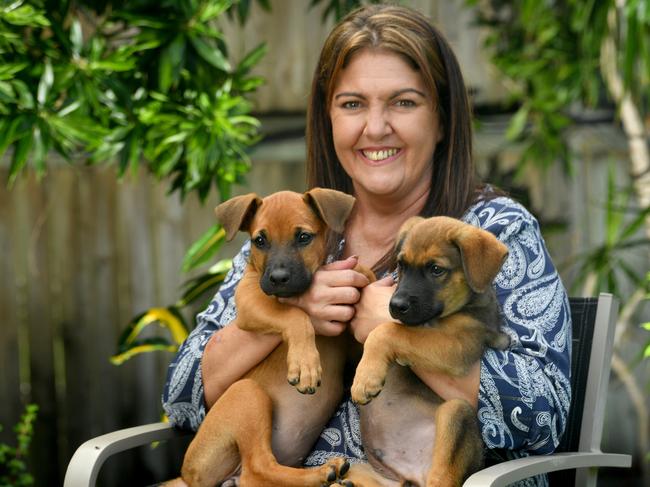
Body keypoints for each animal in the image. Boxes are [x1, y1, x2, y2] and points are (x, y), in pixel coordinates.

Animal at [178, 191, 370, 487]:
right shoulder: (249, 300)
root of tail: (188, 474)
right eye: (260, 240)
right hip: (247, 393)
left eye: (303, 237)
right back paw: (322, 472)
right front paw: (305, 365)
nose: (279, 279)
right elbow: (296, 316)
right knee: (258, 468)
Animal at [336, 216, 508, 487]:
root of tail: (412, 475)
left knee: (443, 477)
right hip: (366, 470)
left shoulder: (457, 346)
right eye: (401, 265)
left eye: (436, 269)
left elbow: (388, 331)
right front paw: (356, 272)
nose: (396, 306)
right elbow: (370, 281)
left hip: (455, 412)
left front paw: (365, 380)